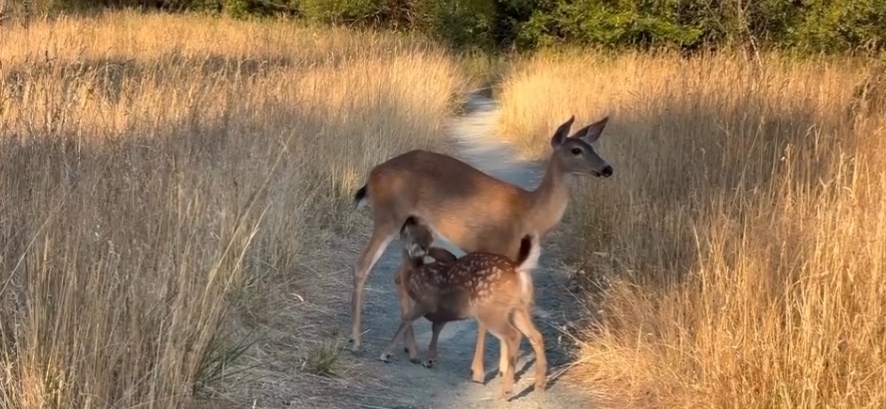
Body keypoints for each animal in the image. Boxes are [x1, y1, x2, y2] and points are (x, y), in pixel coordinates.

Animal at [381, 216, 546, 401]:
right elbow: (436, 328)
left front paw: (386, 354)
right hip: (518, 309)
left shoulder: (425, 301)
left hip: (490, 310)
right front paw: (430, 359)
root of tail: (518, 270)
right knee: (536, 335)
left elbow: (406, 319)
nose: (410, 218)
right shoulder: (441, 312)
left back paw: (506, 390)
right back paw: (539, 384)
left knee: (513, 335)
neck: (414, 274)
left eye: (406, 231)